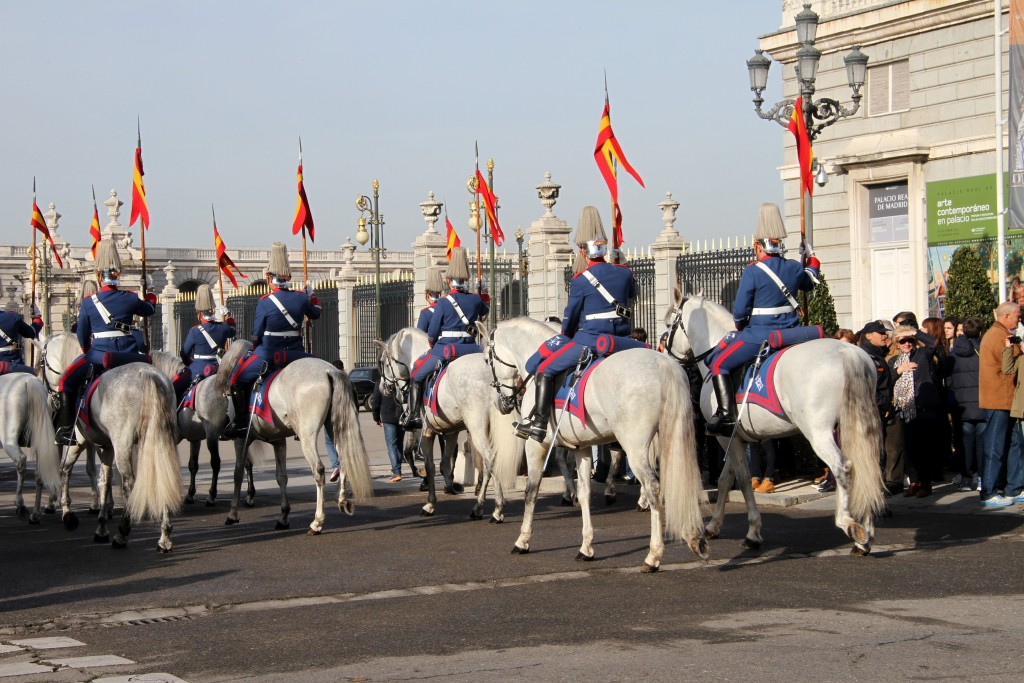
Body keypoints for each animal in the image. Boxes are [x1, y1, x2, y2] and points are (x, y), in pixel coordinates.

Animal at [0, 374, 60, 524]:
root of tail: (29, 381)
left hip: (9, 440)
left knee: (21, 460)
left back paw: (20, 505)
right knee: (39, 474)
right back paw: (36, 514)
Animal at [218, 339, 374, 532]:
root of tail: (330, 371)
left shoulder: (241, 440)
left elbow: (238, 472)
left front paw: (232, 514)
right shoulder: (278, 441)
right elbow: (281, 476)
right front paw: (283, 516)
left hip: (307, 435)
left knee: (318, 470)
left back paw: (317, 521)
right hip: (337, 428)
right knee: (344, 460)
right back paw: (342, 501)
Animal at [378, 327, 524, 520]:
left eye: (383, 363)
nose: (384, 389)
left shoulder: (425, 432)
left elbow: (430, 466)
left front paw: (430, 503)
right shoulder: (452, 431)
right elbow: (446, 462)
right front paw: (450, 487)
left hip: (476, 428)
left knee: (490, 459)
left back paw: (497, 509)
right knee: (488, 464)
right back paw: (478, 507)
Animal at [477, 317, 704, 573]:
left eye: (486, 359)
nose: (501, 404)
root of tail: (663, 363)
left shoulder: (536, 446)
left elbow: (531, 491)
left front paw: (522, 540)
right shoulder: (582, 448)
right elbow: (584, 493)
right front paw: (586, 548)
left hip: (635, 446)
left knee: (653, 487)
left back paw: (653, 555)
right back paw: (694, 537)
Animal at [663, 290, 888, 557]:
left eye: (668, 325)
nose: (665, 356)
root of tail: (848, 352)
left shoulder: (725, 436)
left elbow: (743, 479)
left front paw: (752, 533)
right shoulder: (736, 438)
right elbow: (725, 479)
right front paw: (713, 526)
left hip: (819, 433)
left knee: (842, 467)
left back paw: (848, 523)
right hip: (854, 428)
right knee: (867, 468)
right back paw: (865, 536)